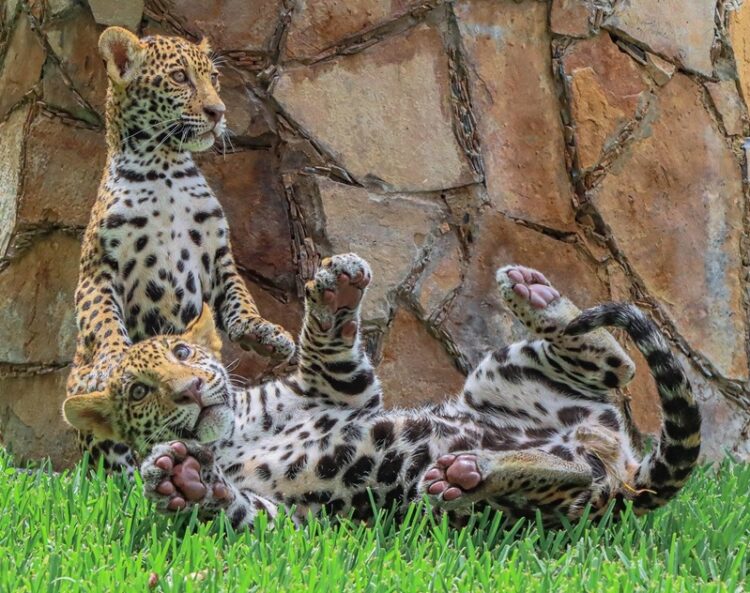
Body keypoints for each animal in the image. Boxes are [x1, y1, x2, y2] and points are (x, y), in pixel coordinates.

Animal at [63, 253, 701, 530]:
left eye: (183, 353)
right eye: (139, 391)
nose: (191, 390)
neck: (231, 436)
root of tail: (628, 474)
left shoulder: (337, 391)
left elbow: (325, 343)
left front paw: (335, 291)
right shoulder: (298, 523)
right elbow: (247, 511)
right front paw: (182, 480)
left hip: (504, 373)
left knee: (617, 364)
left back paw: (534, 294)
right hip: (546, 496)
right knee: (575, 466)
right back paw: (471, 473)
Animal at [66, 27, 295, 474]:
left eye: (214, 78)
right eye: (179, 77)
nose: (218, 111)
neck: (164, 168)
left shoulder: (218, 257)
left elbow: (241, 299)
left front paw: (263, 332)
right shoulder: (98, 268)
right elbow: (103, 321)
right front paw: (113, 360)